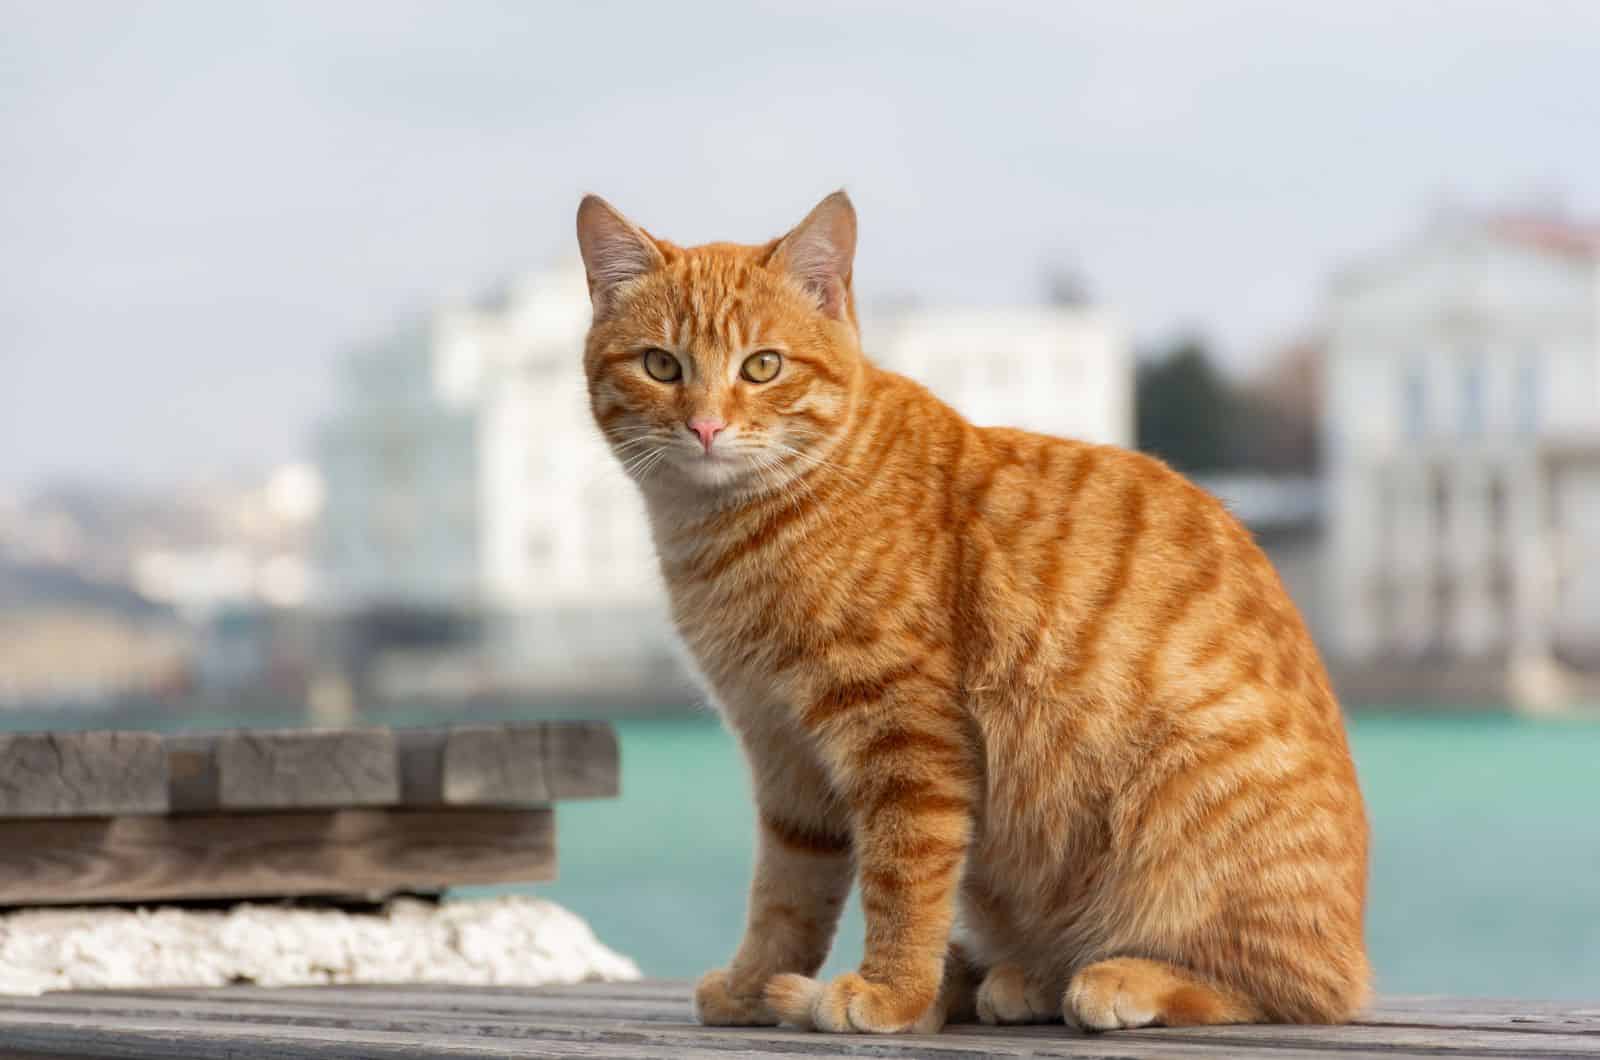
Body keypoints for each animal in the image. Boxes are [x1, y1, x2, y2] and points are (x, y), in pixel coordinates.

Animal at [582, 191, 1369, 1037]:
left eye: (762, 366)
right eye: (662, 365)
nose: (705, 427)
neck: (729, 532)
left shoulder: (904, 736)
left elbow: (903, 878)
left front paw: (888, 991)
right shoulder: (782, 752)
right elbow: (786, 895)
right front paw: (755, 983)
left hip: (1189, 811)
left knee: (1288, 989)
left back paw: (1113, 980)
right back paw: (1006, 980)